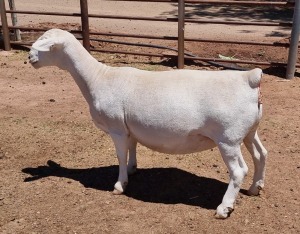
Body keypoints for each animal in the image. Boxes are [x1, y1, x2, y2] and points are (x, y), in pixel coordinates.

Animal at [28, 28, 268, 218]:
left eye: (47, 44)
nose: (29, 57)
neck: (98, 77)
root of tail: (250, 78)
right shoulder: (130, 127)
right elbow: (132, 149)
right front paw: (132, 170)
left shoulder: (116, 128)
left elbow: (120, 155)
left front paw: (119, 185)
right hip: (248, 131)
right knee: (261, 154)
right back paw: (255, 188)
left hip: (228, 138)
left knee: (239, 171)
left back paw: (224, 208)